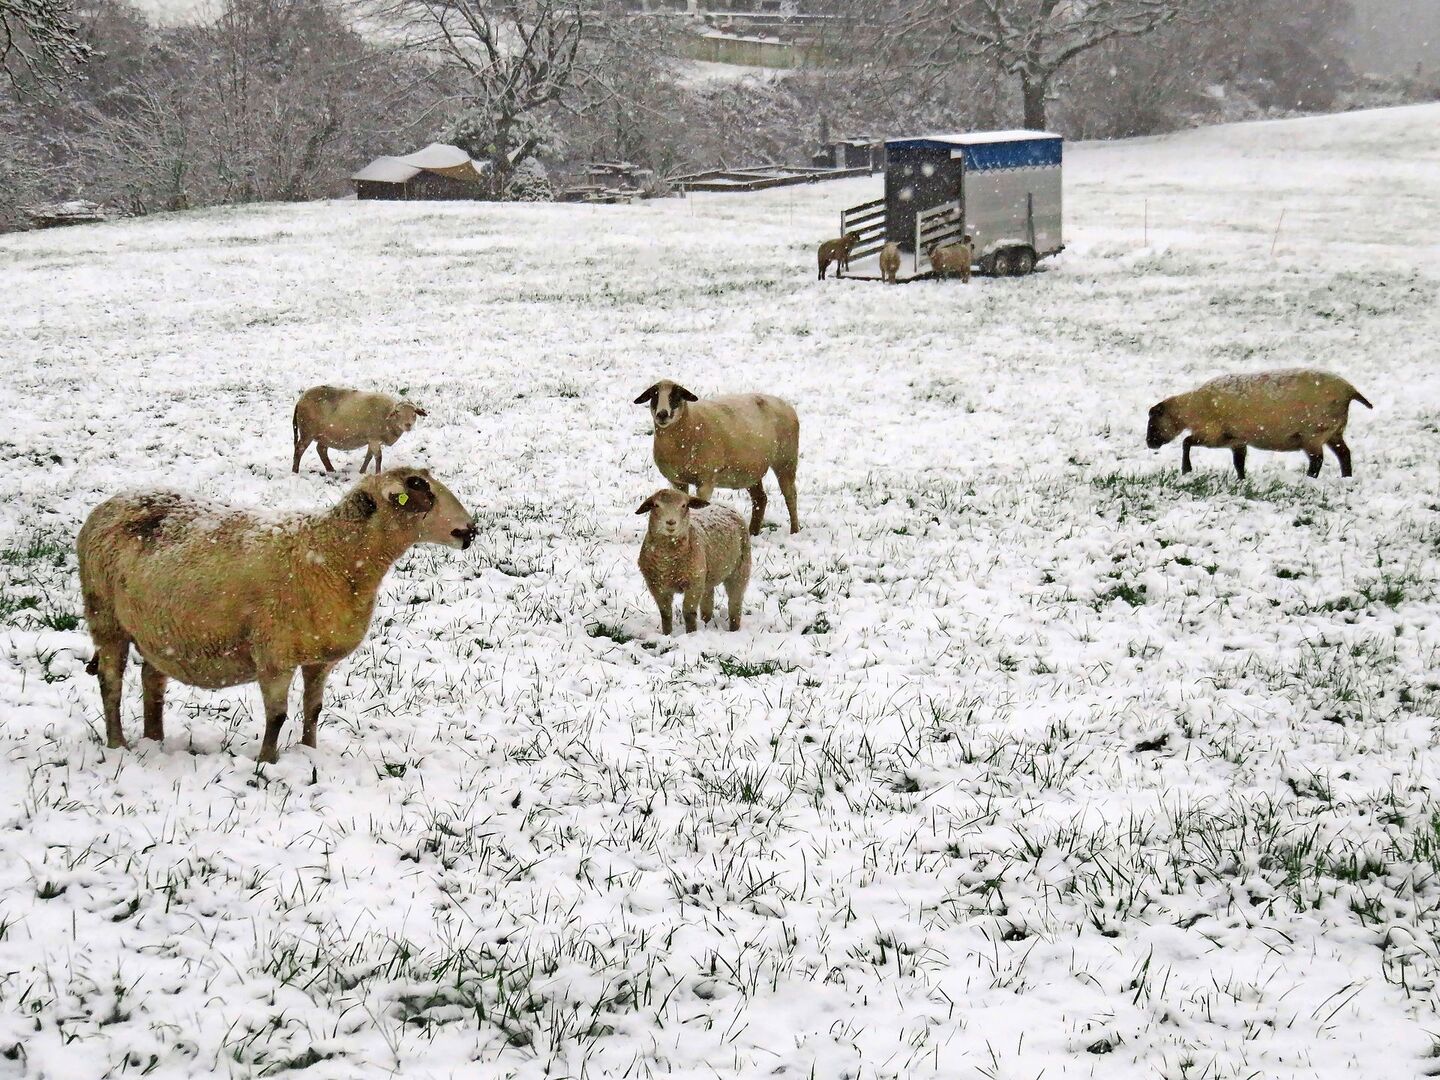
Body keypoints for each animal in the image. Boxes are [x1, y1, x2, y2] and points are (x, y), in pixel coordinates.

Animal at [77, 468, 476, 762]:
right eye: (419, 487)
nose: (470, 531)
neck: (331, 555)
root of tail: (108, 504)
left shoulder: (319, 658)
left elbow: (314, 709)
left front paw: (308, 751)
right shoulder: (274, 653)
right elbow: (277, 715)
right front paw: (267, 763)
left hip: (156, 627)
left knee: (152, 681)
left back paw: (155, 740)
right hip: (105, 616)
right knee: (110, 682)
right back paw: (119, 745)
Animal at [293, 386, 427, 474]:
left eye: (414, 413)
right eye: (398, 412)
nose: (408, 425)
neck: (388, 419)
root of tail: (300, 400)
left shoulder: (372, 440)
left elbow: (369, 456)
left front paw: (362, 471)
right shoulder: (374, 439)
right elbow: (378, 457)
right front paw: (378, 474)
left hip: (324, 435)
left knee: (321, 450)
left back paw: (331, 470)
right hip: (307, 432)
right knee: (299, 449)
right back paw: (295, 471)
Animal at [633, 379, 800, 535]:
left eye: (676, 395)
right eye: (654, 395)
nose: (662, 414)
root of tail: (786, 404)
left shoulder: (706, 480)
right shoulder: (677, 481)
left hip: (786, 460)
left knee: (790, 495)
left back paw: (794, 530)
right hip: (750, 471)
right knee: (760, 498)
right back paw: (753, 532)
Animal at [636, 488, 750, 634]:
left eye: (684, 505)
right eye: (656, 505)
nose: (671, 522)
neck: (668, 562)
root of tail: (723, 504)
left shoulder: (694, 583)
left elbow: (688, 613)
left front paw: (691, 633)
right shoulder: (656, 585)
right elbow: (665, 613)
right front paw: (667, 634)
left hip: (740, 570)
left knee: (735, 603)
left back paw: (733, 629)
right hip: (707, 576)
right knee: (708, 601)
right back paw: (706, 623)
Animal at [1146, 368, 1373, 479]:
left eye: (1152, 422)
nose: (1149, 443)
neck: (1192, 407)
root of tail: (1350, 391)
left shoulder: (1213, 435)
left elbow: (1186, 442)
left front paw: (1186, 470)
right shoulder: (1235, 440)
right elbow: (1239, 462)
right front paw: (1241, 480)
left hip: (1314, 434)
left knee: (1317, 460)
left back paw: (1310, 479)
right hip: (1334, 431)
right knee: (1344, 454)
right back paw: (1346, 477)